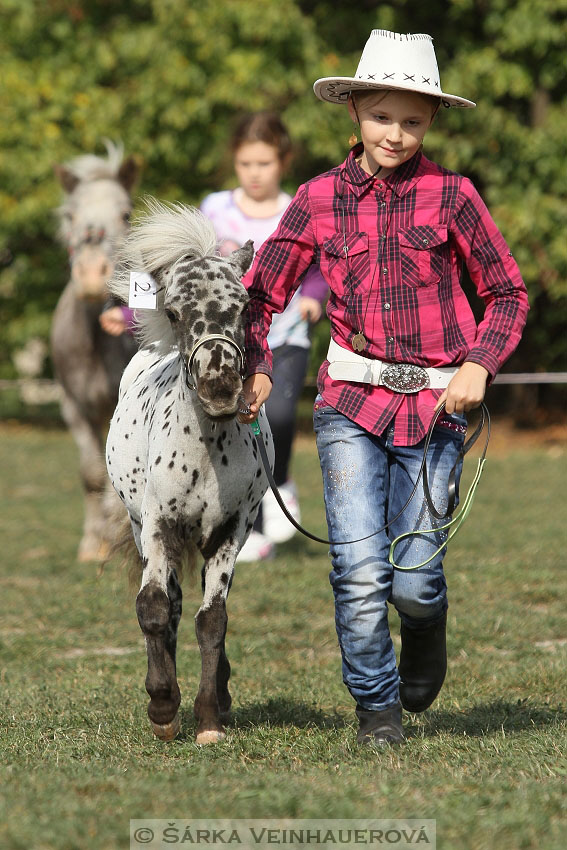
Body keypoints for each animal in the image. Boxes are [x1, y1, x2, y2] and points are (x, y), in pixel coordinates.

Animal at [108, 199, 276, 744]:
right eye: (173, 312)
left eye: (244, 306)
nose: (220, 391)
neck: (206, 453)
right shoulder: (160, 526)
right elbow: (155, 608)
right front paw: (163, 708)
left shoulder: (230, 531)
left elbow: (213, 620)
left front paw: (208, 717)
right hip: (143, 528)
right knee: (172, 604)